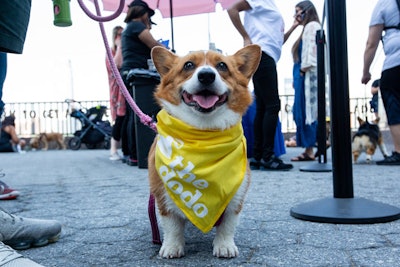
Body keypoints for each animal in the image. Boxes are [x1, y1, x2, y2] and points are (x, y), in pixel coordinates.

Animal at [148, 46, 262, 260]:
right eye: (188, 65)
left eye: (222, 65)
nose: (207, 75)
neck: (203, 134)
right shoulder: (162, 194)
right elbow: (172, 225)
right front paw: (172, 247)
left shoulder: (237, 197)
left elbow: (228, 224)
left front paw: (224, 246)